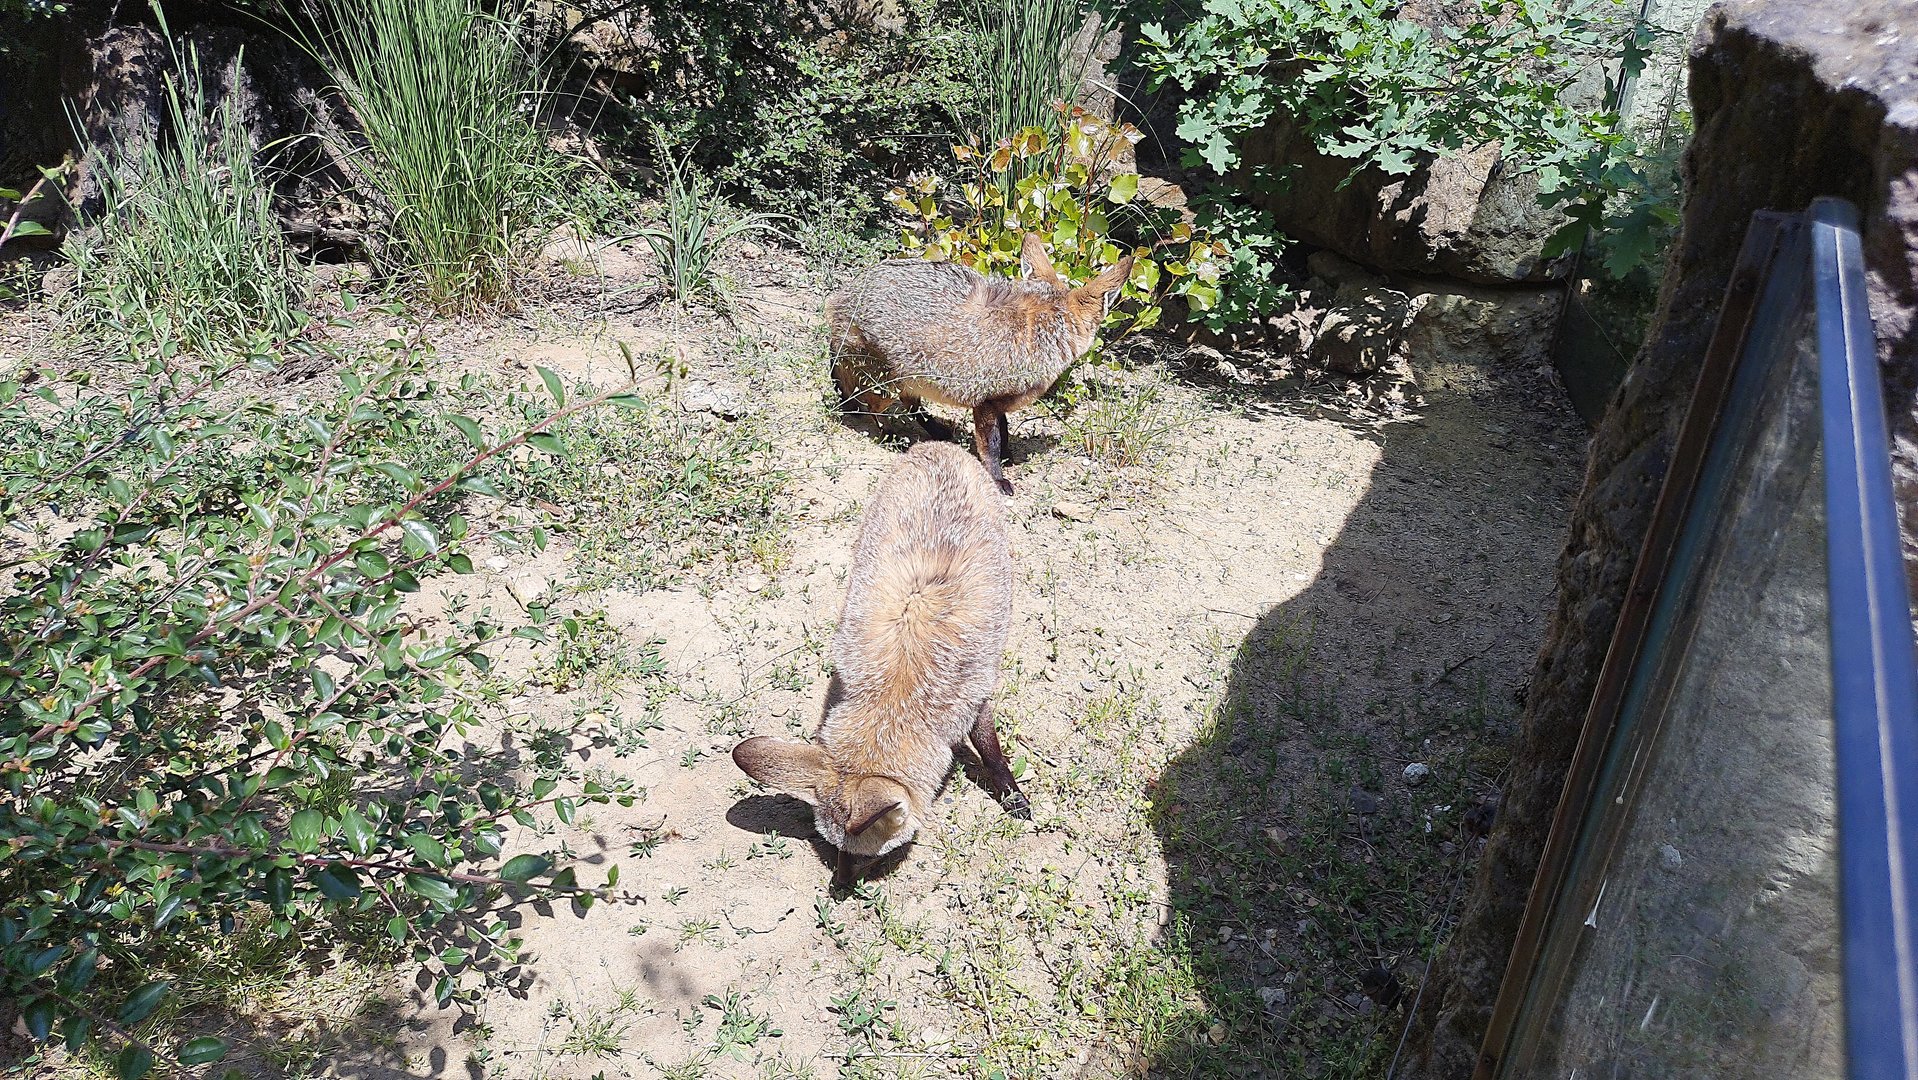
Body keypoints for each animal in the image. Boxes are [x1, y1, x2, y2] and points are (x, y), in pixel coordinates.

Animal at [731, 441, 1029, 887]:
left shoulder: (975, 697)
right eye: (833, 849)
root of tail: (938, 446)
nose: (839, 889)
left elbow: (993, 753)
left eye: (867, 856)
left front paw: (1010, 792)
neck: (896, 691)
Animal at [827, 232, 1134, 493]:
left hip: (914, 378)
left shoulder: (999, 402)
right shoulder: (985, 403)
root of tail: (844, 293)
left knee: (911, 404)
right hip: (886, 385)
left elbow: (1005, 430)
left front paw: (1009, 455)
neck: (1040, 328)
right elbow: (992, 444)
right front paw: (997, 477)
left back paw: (937, 430)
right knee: (876, 406)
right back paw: (890, 435)